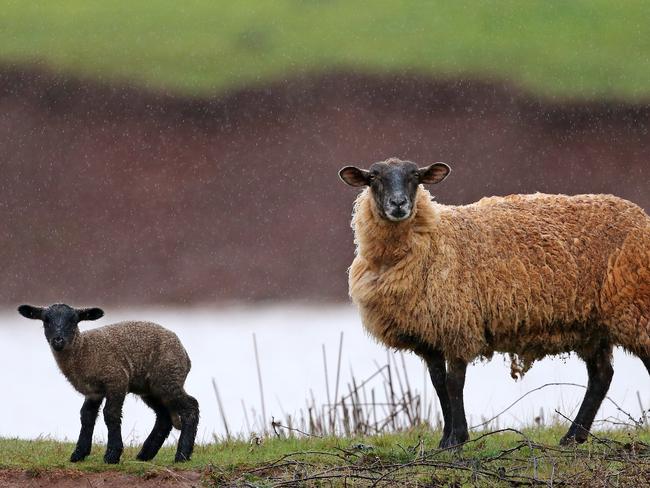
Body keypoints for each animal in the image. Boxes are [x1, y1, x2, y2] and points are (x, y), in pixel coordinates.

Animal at [18, 304, 200, 464]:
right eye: (46, 320)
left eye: (73, 320)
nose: (58, 340)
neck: (83, 350)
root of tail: (185, 353)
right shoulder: (93, 392)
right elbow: (86, 416)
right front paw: (79, 454)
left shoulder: (116, 379)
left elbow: (110, 414)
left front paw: (112, 455)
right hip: (150, 388)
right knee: (163, 417)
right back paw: (145, 455)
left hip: (168, 378)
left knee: (191, 407)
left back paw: (182, 455)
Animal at [340, 158, 648, 448]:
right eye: (373, 178)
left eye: (415, 176)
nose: (398, 204)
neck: (434, 239)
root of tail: (641, 217)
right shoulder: (430, 336)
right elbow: (439, 385)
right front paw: (445, 440)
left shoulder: (459, 326)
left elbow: (454, 384)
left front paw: (457, 440)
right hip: (592, 327)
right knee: (601, 375)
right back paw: (572, 437)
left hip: (635, 308)